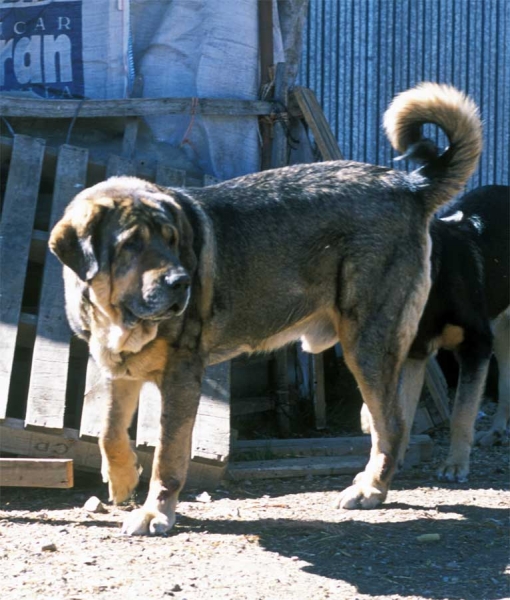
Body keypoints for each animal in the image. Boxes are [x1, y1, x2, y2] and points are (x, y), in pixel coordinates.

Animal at [48, 83, 482, 536]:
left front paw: (155, 512)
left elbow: (167, 454)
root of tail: (408, 185)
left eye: (172, 239)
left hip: (367, 345)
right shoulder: (119, 369)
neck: (117, 317)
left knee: (391, 425)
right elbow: (109, 431)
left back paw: (370, 490)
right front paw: (122, 479)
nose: (182, 282)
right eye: (131, 244)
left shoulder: (181, 378)